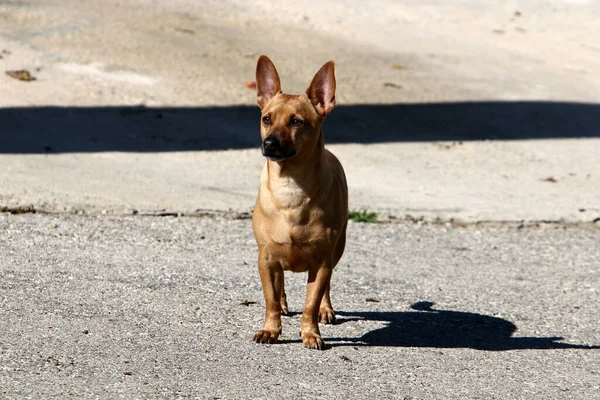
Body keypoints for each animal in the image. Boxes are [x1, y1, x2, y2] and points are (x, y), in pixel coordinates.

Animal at [252, 56, 346, 350]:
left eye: (296, 122)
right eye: (266, 119)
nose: (269, 143)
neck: (291, 187)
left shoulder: (322, 263)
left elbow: (310, 303)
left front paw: (310, 333)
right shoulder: (266, 258)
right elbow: (270, 298)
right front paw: (270, 330)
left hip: (337, 250)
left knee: (326, 288)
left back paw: (326, 310)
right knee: (279, 286)